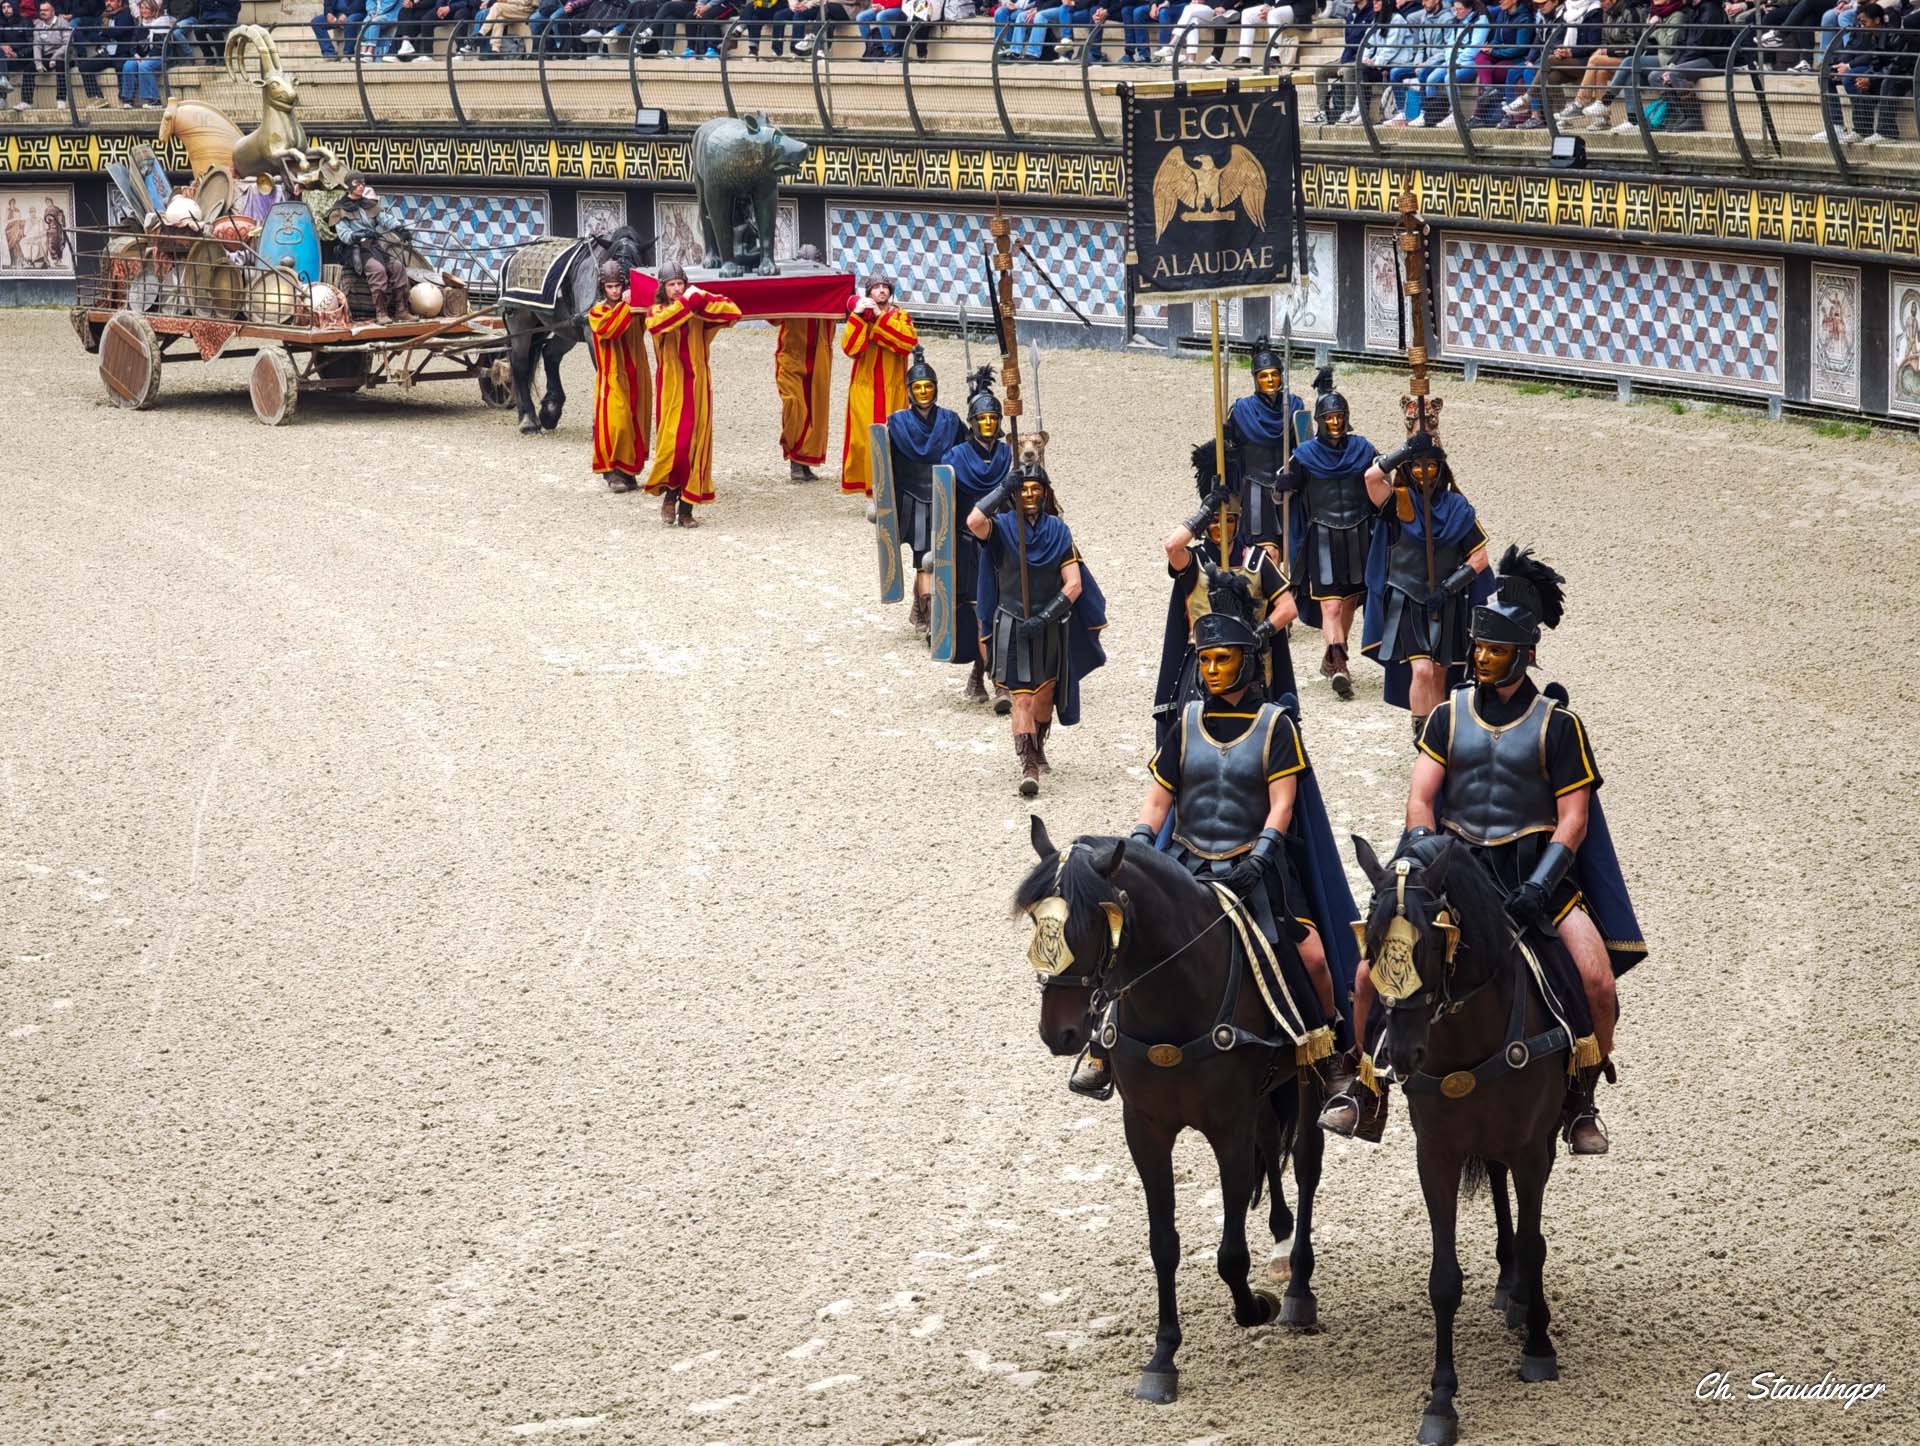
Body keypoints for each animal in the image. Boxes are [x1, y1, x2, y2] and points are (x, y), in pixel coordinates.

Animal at [498, 225, 647, 436]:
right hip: (521, 323)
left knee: (550, 355)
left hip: (565, 327)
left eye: (634, 268)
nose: (617, 296)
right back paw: (528, 420)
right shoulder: (592, 336)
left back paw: (549, 410)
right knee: (520, 364)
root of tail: (514, 255)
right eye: (608, 269)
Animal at [1019, 816, 1329, 1405]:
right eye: (1033, 921)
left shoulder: (1226, 1129)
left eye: (1092, 923)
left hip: (1308, 1077)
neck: (1176, 996)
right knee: (1272, 1146)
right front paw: (1163, 1358)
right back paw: (1280, 1240)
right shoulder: (1147, 1129)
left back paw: (1297, 1285)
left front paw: (1253, 1307)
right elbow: (1163, 1244)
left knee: (1305, 1161)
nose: (1057, 1032)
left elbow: (1230, 1252)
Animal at [1352, 832, 1577, 1446]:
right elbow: (1444, 1280)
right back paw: (1508, 1284)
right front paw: (1441, 1400)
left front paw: (1539, 1346)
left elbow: (1535, 1241)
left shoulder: (1532, 1149)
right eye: (1370, 946)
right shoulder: (1437, 1155)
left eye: (1431, 942)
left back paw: (1521, 1298)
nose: (1403, 1054)